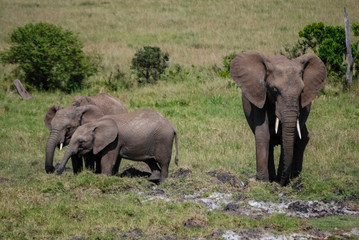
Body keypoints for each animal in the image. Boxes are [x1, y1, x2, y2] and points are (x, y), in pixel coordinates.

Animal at [231, 50, 330, 186]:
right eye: (275, 90)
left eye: (301, 91)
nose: (281, 182)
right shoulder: (259, 95)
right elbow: (263, 134)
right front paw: (264, 182)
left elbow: (291, 136)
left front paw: (280, 181)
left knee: (303, 138)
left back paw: (293, 178)